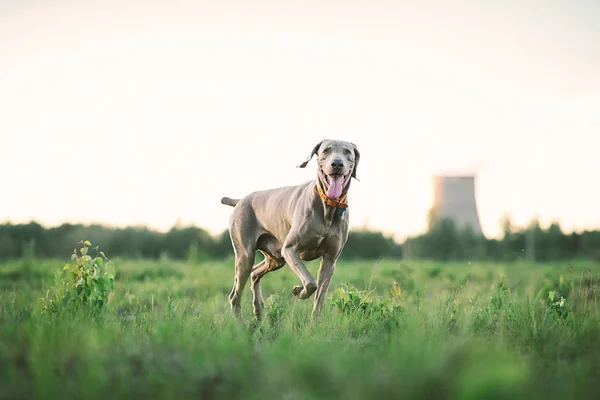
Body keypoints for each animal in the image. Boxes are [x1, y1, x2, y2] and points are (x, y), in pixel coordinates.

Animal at [221, 139, 358, 320]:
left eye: (347, 152)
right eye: (326, 150)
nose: (337, 164)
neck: (328, 206)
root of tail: (240, 200)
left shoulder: (330, 260)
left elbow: (320, 296)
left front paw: (315, 323)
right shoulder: (290, 249)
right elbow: (311, 283)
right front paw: (299, 291)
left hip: (276, 258)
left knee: (255, 273)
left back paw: (258, 309)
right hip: (246, 254)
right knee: (235, 295)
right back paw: (240, 323)